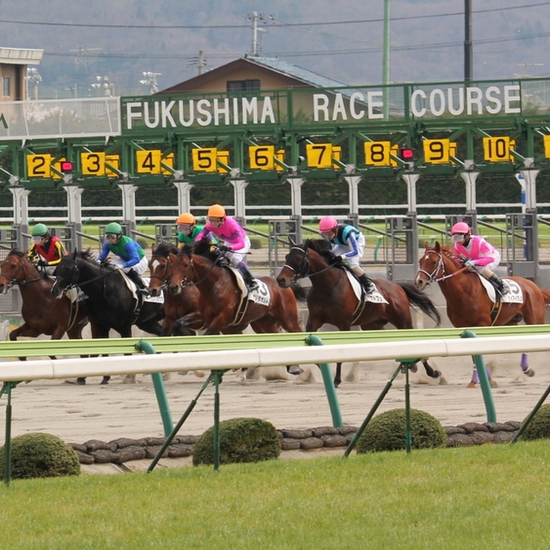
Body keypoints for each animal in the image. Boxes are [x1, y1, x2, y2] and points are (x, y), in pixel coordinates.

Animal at [51, 250, 165, 384]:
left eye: (69, 268)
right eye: (58, 268)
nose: (54, 290)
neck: (105, 290)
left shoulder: (125, 327)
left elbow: (127, 352)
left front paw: (129, 376)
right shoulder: (101, 325)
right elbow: (102, 349)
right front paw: (104, 377)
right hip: (147, 323)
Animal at [276, 240, 444, 388]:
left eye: (298, 258)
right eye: (286, 256)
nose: (281, 280)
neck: (327, 285)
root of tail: (397, 286)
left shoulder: (344, 324)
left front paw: (336, 379)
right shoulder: (314, 320)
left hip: (403, 320)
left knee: (415, 340)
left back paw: (432, 372)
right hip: (373, 324)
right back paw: (411, 364)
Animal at [416, 244, 550, 386]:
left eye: (434, 262)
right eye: (420, 261)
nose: (419, 281)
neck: (463, 292)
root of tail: (535, 287)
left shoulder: (482, 324)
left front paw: (480, 380)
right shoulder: (463, 327)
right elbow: (474, 354)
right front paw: (483, 379)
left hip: (535, 320)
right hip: (511, 321)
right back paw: (525, 370)